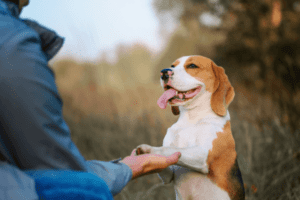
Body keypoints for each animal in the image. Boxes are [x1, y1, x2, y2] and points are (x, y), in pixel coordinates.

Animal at [137, 55, 245, 199]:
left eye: (192, 66)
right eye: (172, 66)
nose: (164, 72)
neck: (191, 119)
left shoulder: (203, 155)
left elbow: (170, 149)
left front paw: (149, 149)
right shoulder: (169, 175)